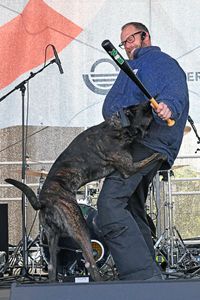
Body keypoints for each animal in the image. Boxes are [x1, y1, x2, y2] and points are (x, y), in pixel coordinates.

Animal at [5, 101, 166, 282]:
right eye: (145, 110)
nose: (153, 105)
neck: (116, 127)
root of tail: (43, 201)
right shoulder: (128, 168)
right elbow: (150, 157)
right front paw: (161, 154)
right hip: (80, 227)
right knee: (90, 263)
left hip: (52, 237)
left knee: (53, 269)